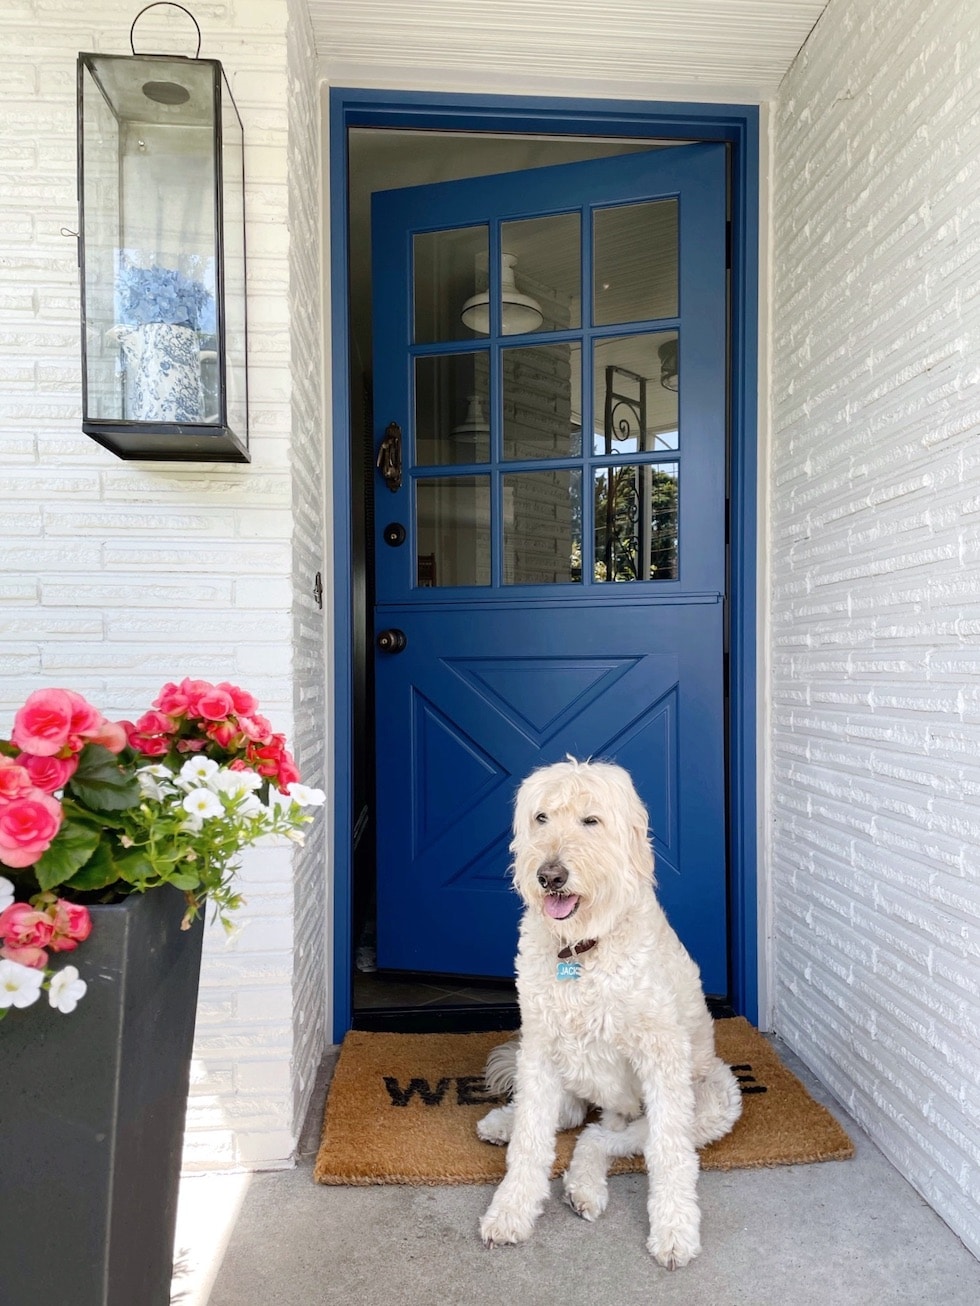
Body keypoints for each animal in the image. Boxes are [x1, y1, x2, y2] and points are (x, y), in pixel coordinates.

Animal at [478, 757, 742, 1264]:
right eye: (541, 818)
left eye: (591, 821)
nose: (550, 876)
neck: (582, 949)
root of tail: (612, 1107)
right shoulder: (539, 1049)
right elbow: (530, 1140)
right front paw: (511, 1210)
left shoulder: (662, 1055)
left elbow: (668, 1152)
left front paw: (675, 1231)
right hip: (566, 1081)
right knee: (564, 1120)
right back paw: (503, 1124)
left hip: (714, 1097)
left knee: (602, 1138)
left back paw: (584, 1187)